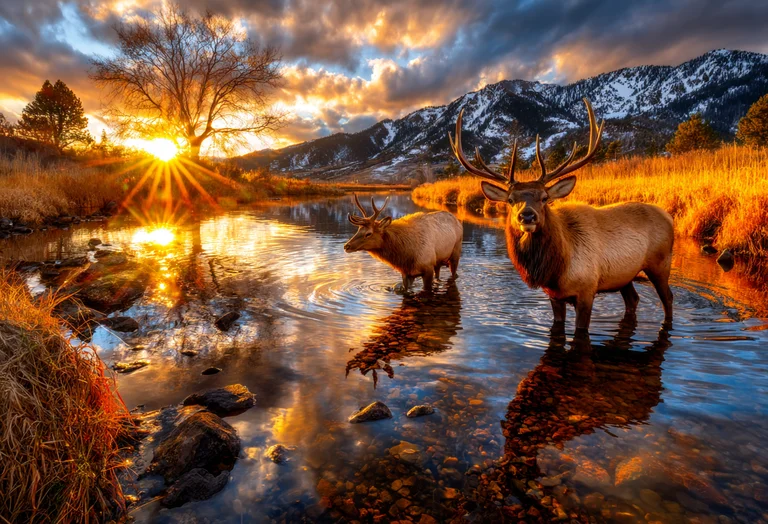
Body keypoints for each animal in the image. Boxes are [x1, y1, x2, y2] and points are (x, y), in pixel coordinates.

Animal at [449, 98, 674, 332]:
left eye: (544, 197)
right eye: (510, 200)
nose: (527, 216)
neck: (557, 269)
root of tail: (668, 216)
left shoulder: (587, 290)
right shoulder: (554, 296)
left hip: (660, 263)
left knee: (668, 298)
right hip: (625, 276)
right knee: (633, 299)